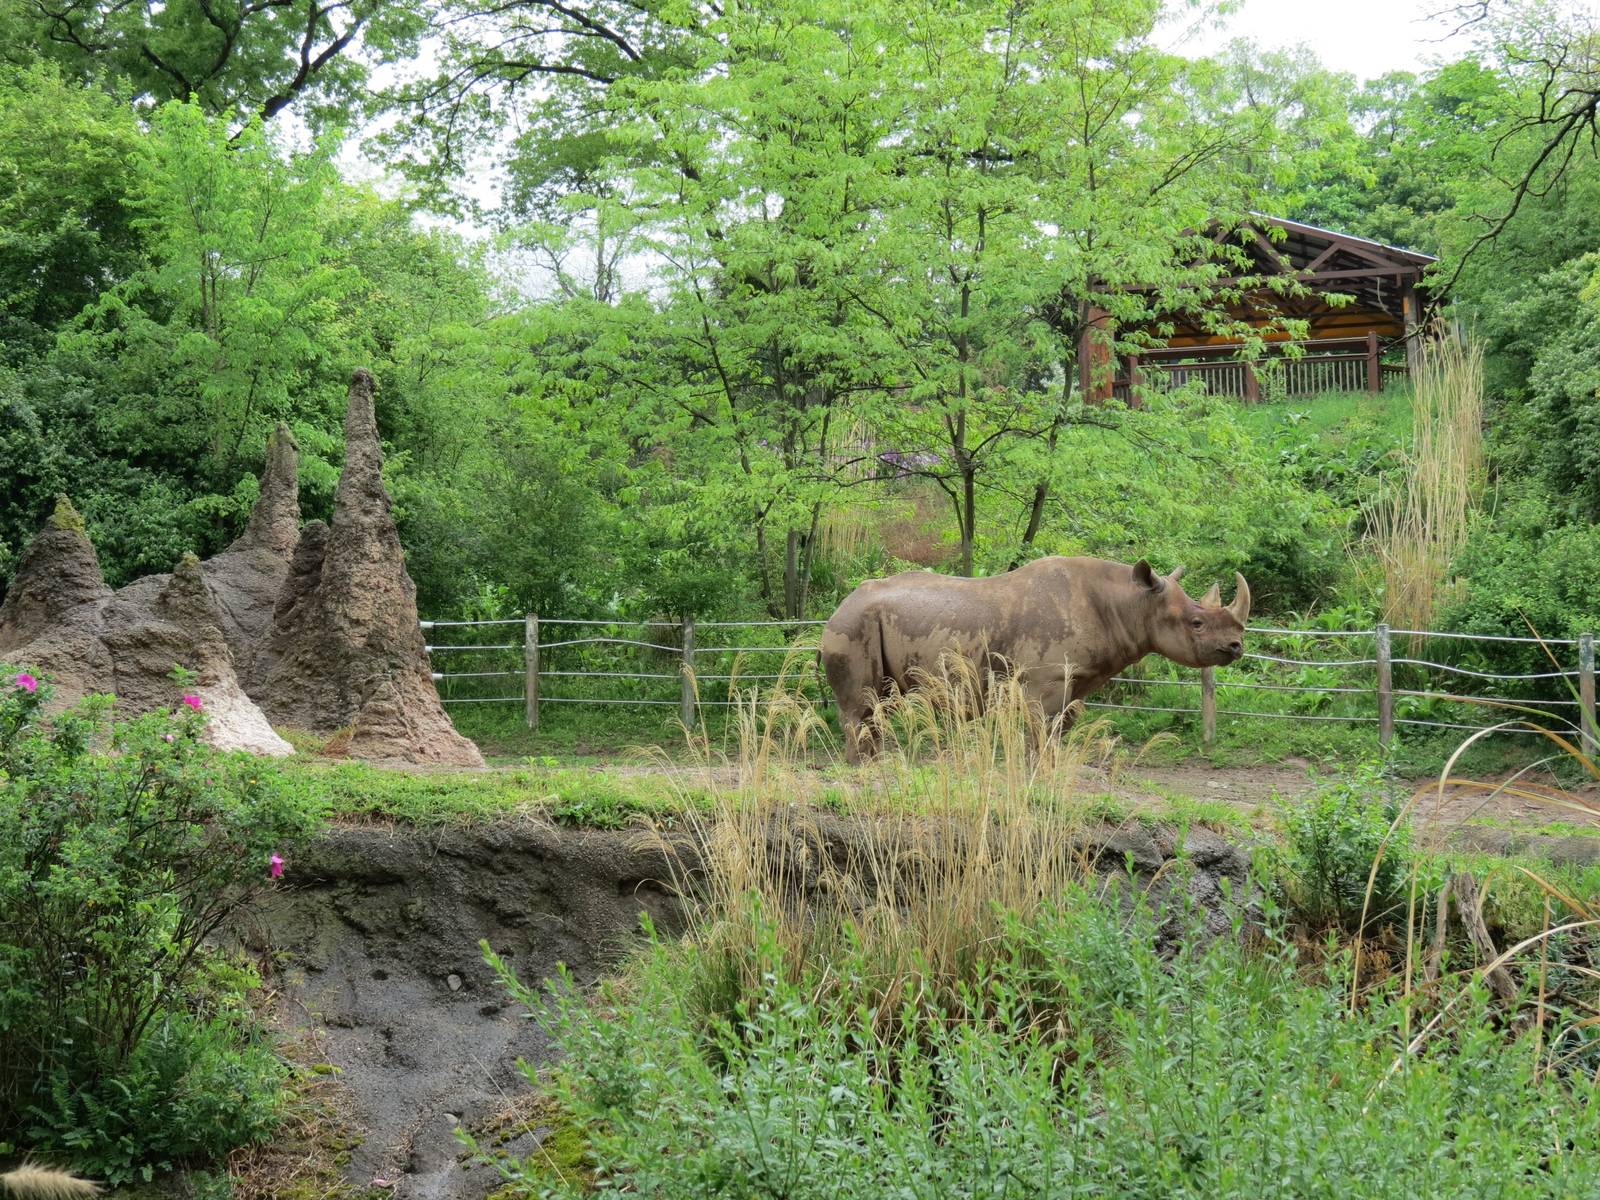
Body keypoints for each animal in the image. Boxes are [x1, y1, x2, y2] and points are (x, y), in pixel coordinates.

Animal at [821, 556, 1250, 762]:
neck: (1130, 603)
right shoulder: (1045, 682)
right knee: (861, 706)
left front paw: (1050, 769)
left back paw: (876, 763)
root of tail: (840, 605)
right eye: (1196, 623)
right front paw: (1037, 772)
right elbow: (1041, 731)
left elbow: (1060, 729)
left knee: (880, 705)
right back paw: (862, 767)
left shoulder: (1076, 681)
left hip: (866, 621)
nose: (1235, 646)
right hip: (852, 625)